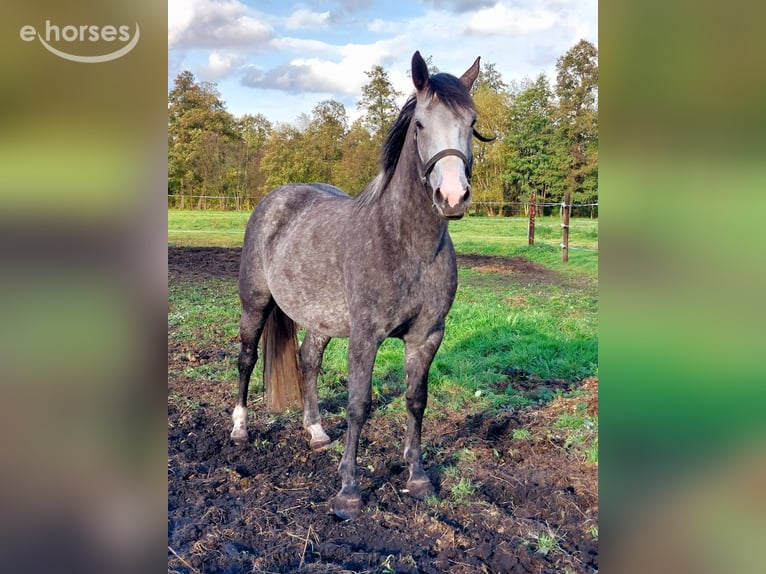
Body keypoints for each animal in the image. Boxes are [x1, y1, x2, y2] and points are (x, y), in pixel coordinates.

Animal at [231, 51, 487, 519]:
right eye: (420, 124)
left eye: (471, 121)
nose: (453, 196)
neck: (404, 244)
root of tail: (277, 198)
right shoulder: (365, 336)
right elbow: (358, 405)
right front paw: (348, 490)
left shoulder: (427, 335)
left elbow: (416, 401)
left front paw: (417, 478)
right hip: (254, 304)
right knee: (246, 358)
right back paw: (239, 429)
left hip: (321, 319)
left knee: (307, 361)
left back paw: (315, 432)